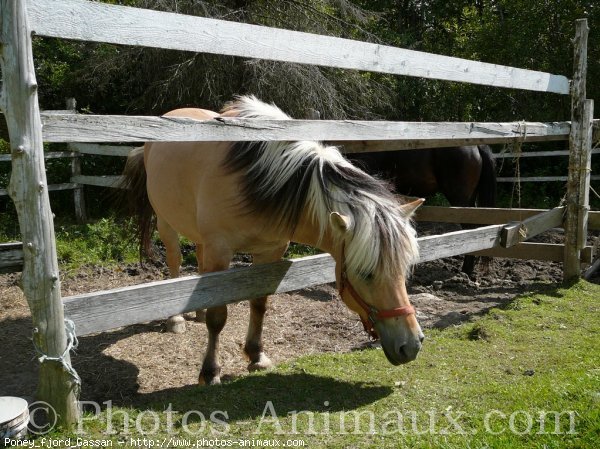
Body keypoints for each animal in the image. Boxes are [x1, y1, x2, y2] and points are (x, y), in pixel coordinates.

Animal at [120, 96, 422, 384]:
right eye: (365, 274)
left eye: (405, 270)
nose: (412, 346)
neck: (258, 181)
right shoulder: (221, 250)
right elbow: (219, 317)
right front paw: (210, 371)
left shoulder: (270, 251)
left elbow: (259, 304)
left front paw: (256, 356)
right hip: (167, 224)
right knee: (174, 262)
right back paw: (176, 319)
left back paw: (199, 312)